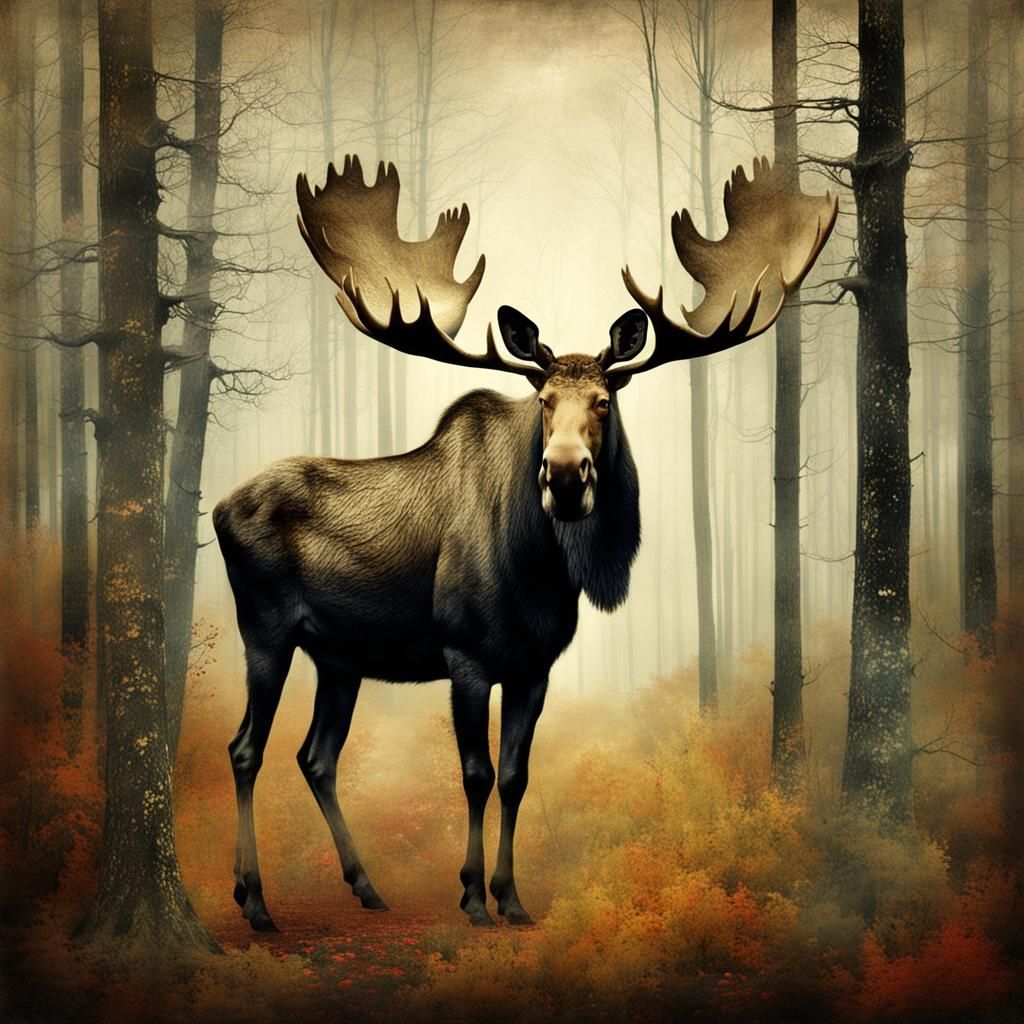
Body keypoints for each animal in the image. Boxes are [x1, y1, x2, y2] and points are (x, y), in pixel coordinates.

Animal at [213, 154, 836, 931]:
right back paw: (255, 899)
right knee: (246, 749)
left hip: (340, 656)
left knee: (315, 757)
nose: (565, 474)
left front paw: (511, 896)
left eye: (604, 401)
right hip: (265, 629)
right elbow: (476, 774)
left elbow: (515, 776)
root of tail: (216, 508)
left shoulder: (535, 666)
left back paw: (366, 885)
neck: (542, 575)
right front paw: (472, 897)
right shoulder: (465, 655)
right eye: (543, 402)